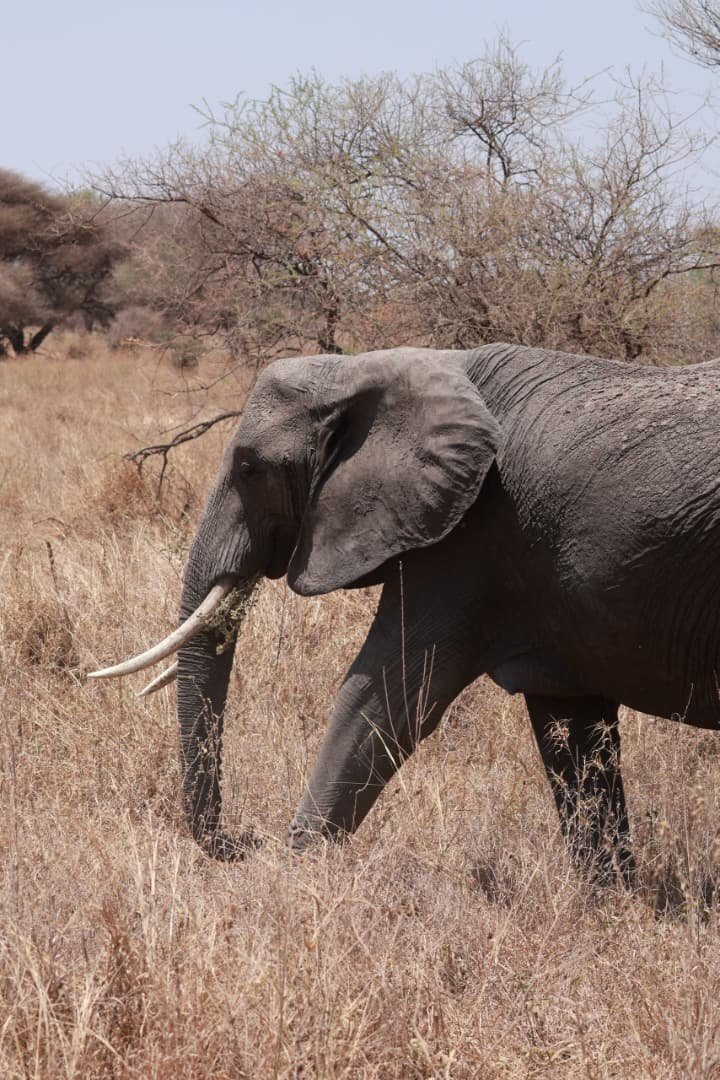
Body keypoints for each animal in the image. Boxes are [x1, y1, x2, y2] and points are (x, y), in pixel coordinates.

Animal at [90, 343, 720, 884]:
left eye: (249, 468)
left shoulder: (470, 537)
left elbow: (381, 695)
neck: (379, 368)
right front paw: (609, 900)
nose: (240, 842)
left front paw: (294, 877)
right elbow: (572, 732)